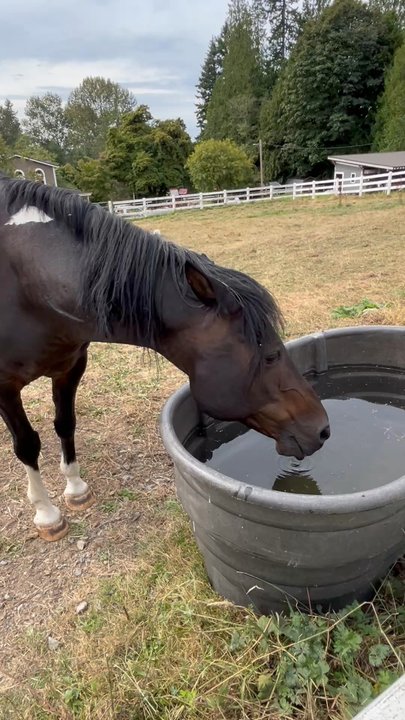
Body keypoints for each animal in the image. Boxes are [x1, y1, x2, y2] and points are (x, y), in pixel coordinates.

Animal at [0, 174, 330, 541]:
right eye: (270, 356)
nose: (322, 429)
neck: (29, 282)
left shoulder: (70, 366)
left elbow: (65, 423)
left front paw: (75, 489)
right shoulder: (4, 386)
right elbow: (27, 445)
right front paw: (47, 514)